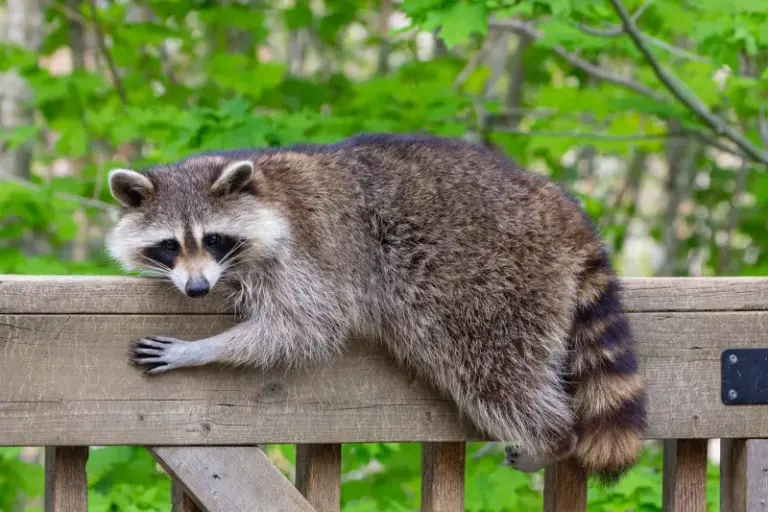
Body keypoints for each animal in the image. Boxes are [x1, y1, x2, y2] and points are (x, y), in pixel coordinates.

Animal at [106, 133, 646, 483]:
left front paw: (200, 349)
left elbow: (306, 327)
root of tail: (559, 207)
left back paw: (551, 437)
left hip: (495, 281)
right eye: (170, 245)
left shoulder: (307, 255)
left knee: (494, 371)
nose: (197, 289)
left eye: (214, 239)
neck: (264, 188)